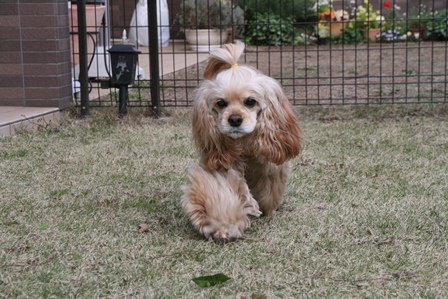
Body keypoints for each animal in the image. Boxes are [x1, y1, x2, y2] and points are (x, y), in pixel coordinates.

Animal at [180, 42, 302, 243]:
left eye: (250, 101)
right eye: (221, 103)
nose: (235, 119)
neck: (244, 144)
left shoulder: (271, 165)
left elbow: (269, 189)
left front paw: (265, 208)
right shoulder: (221, 164)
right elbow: (223, 192)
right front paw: (223, 228)